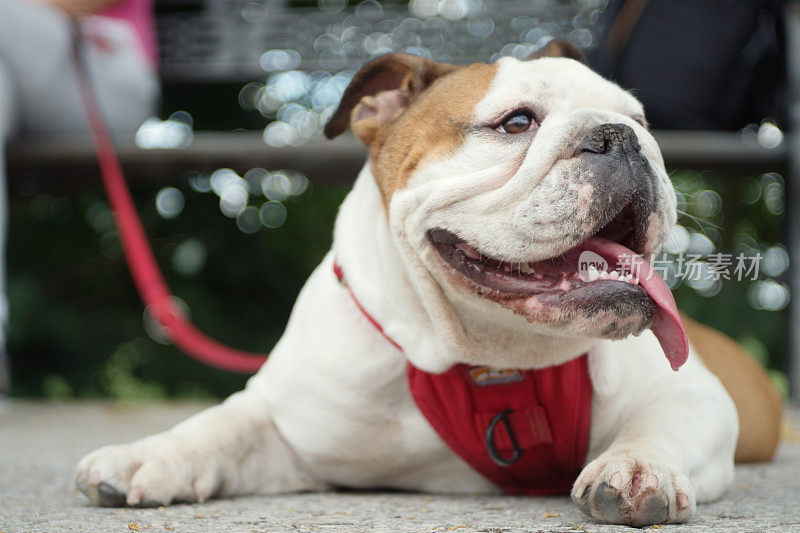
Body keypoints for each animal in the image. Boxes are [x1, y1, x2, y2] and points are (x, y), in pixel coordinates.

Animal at [76, 40, 780, 524]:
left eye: (642, 119)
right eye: (516, 123)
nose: (624, 137)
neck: (488, 359)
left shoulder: (697, 398)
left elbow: (661, 421)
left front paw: (636, 466)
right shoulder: (289, 419)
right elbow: (219, 427)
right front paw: (144, 455)